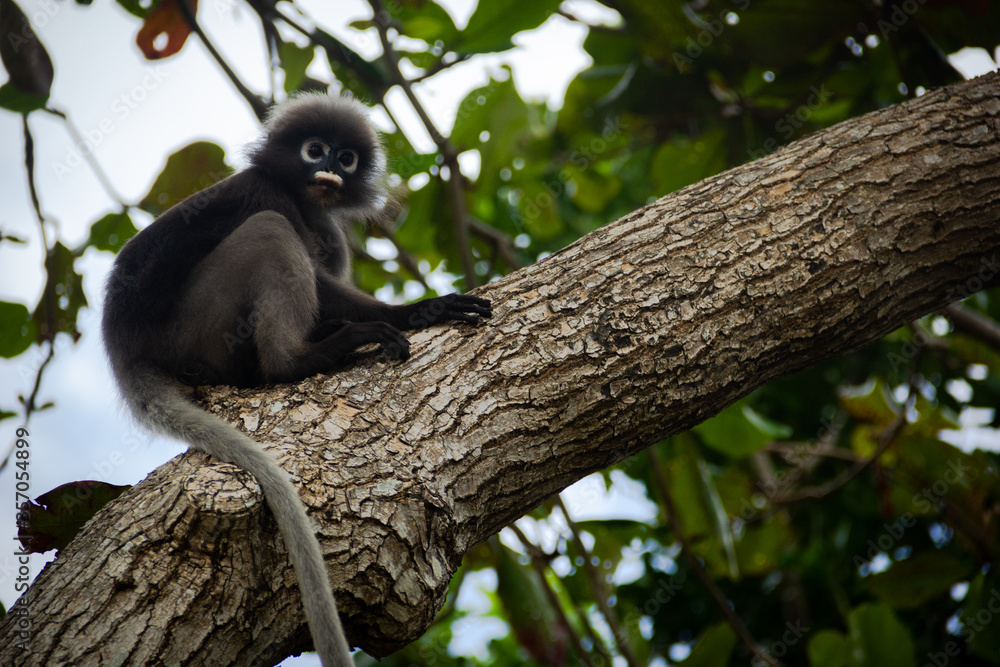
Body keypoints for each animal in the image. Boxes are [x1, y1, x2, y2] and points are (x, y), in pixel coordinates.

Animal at [101, 92, 492, 667]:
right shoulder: (266, 193)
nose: (328, 167)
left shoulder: (329, 228)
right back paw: (304, 356)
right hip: (200, 333)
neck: (303, 198)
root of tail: (127, 353)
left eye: (346, 157)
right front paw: (421, 310)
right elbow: (318, 275)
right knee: (269, 232)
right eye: (314, 149)